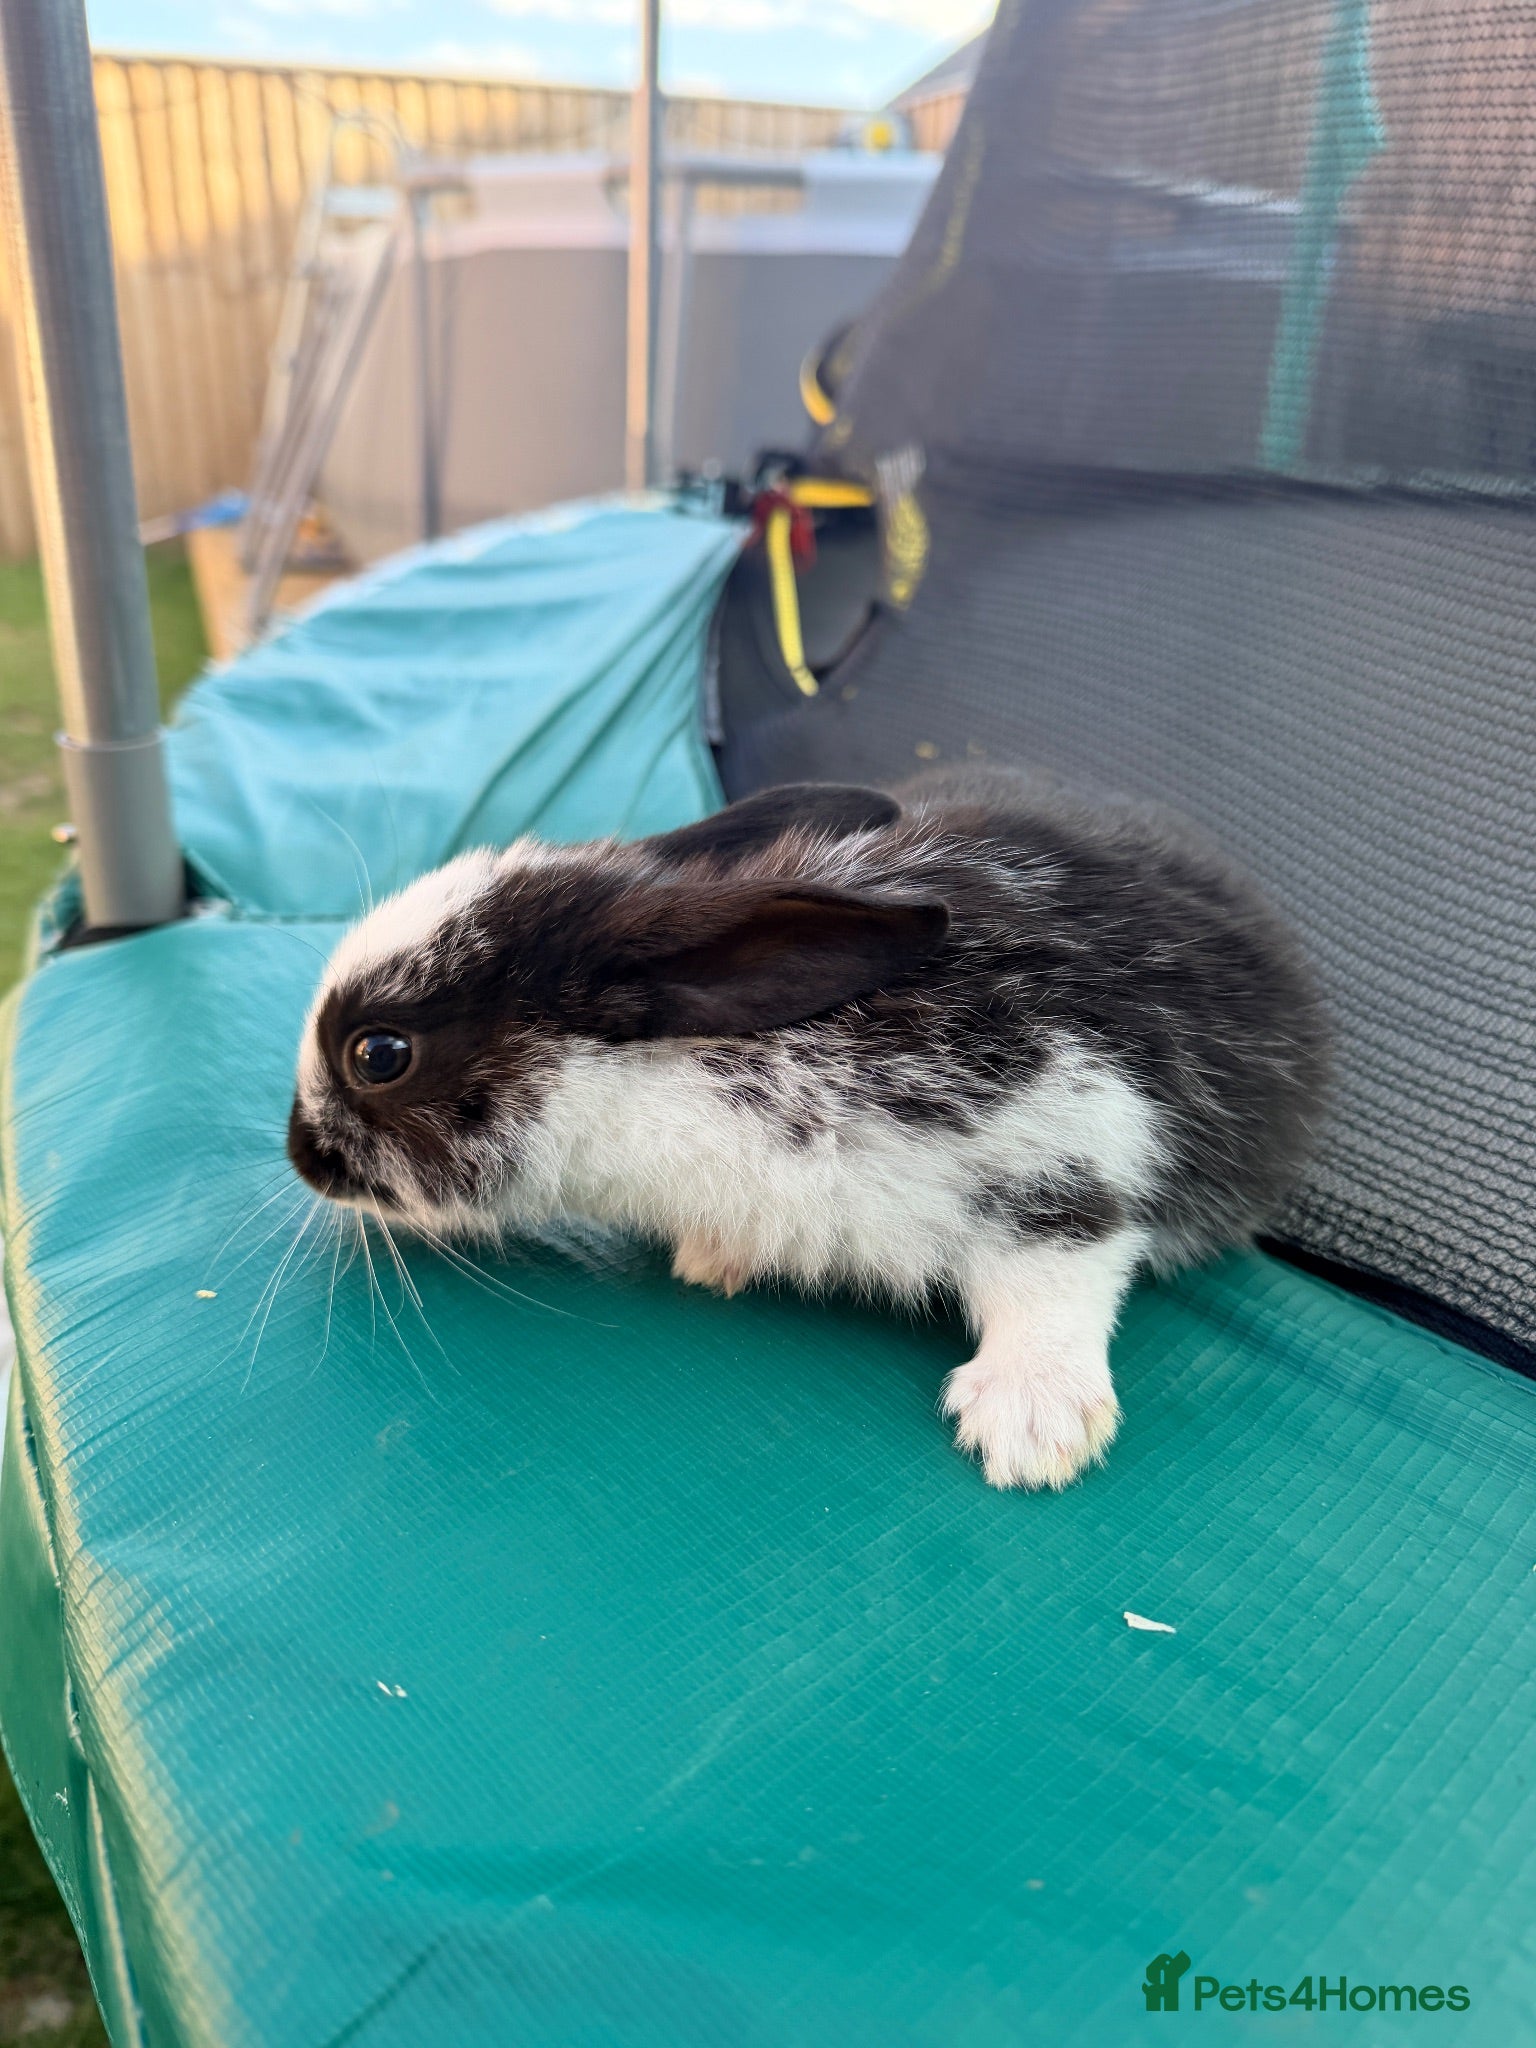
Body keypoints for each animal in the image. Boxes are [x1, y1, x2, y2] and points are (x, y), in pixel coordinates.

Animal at [287, 768, 1329, 1490]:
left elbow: (1064, 1273)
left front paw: (1032, 1427)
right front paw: (712, 1260)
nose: (302, 1157)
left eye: (380, 1054)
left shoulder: (1060, 1138)